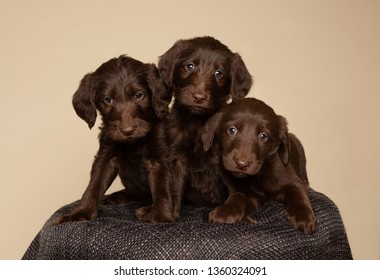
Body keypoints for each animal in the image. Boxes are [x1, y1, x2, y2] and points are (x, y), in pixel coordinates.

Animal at [54, 54, 173, 225]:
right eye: (108, 99)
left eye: (139, 95)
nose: (127, 131)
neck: (132, 143)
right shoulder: (106, 156)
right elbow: (93, 186)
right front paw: (80, 213)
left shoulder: (159, 159)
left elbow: (161, 188)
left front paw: (161, 217)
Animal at [157, 35, 252, 219]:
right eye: (189, 66)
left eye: (218, 73)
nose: (199, 97)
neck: (197, 122)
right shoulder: (177, 156)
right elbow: (175, 187)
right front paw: (171, 215)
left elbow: (236, 189)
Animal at [203, 98, 316, 234]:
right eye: (231, 130)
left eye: (263, 136)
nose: (242, 164)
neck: (259, 174)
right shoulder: (244, 192)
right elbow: (237, 196)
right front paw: (226, 210)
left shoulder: (292, 181)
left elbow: (299, 194)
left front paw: (303, 216)